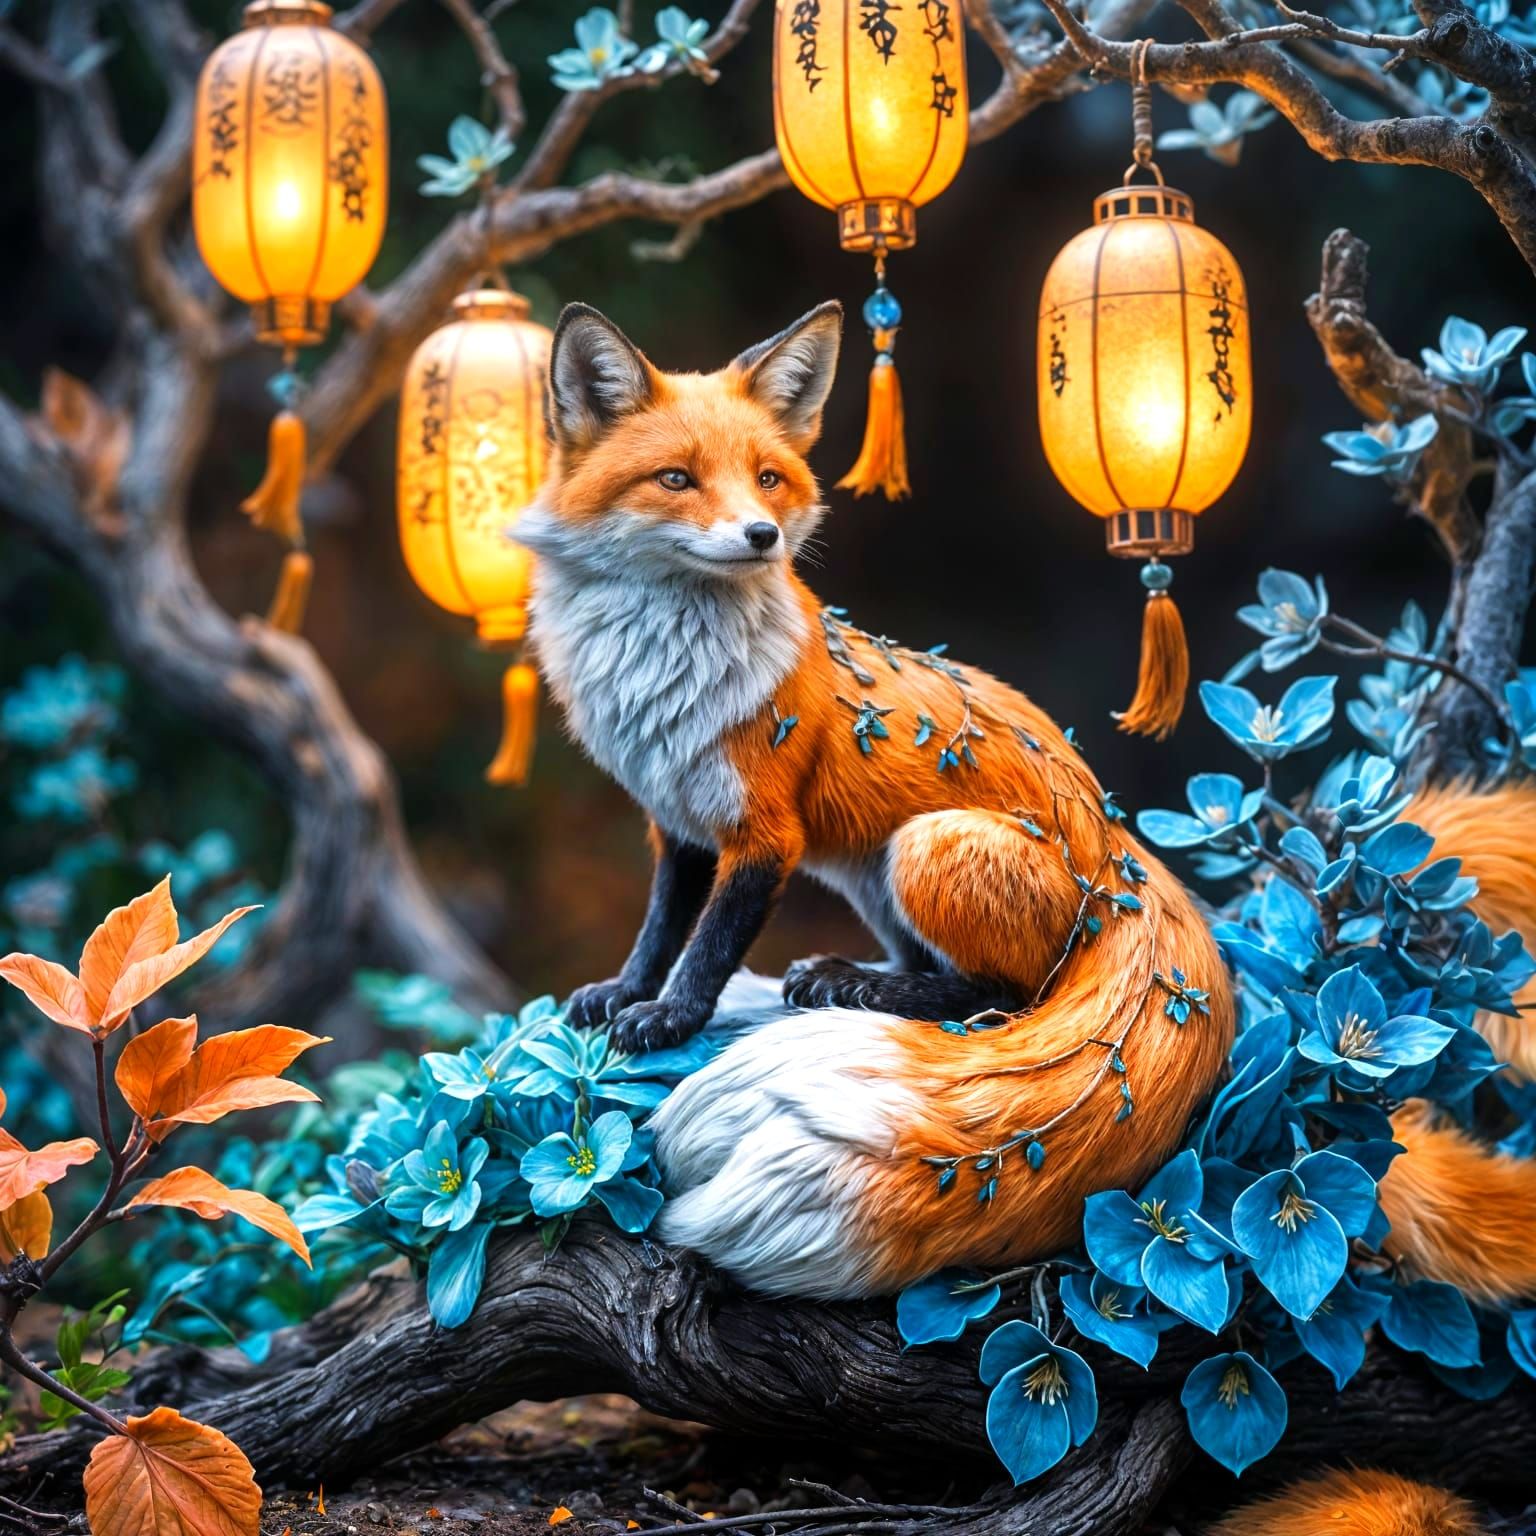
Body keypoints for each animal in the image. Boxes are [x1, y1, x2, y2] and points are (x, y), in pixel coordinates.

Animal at [512, 299, 1536, 1303]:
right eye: (677, 479)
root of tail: (1123, 852)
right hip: (877, 874)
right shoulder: (681, 819)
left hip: (926, 847)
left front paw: (671, 1019)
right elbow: (660, 928)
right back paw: (856, 977)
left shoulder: (764, 835)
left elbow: (711, 948)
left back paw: (870, 991)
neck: (662, 674)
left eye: (768, 480)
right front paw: (626, 994)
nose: (761, 537)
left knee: (1001, 996)